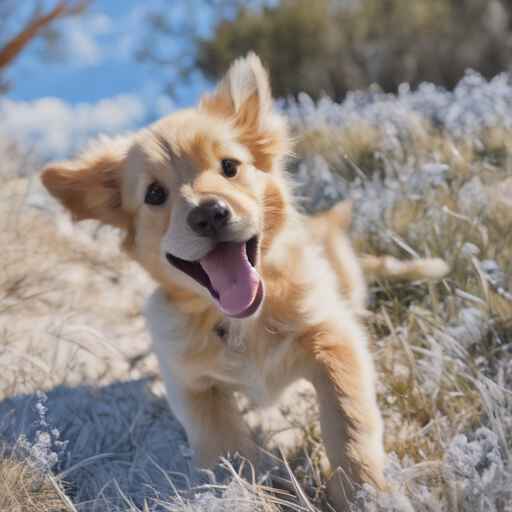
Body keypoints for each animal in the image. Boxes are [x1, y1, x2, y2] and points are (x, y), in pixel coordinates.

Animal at [41, 54, 448, 510]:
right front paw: (255, 490)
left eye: (229, 167)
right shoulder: (187, 381)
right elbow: (225, 448)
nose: (209, 214)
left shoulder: (333, 335)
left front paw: (367, 492)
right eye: (154, 194)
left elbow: (347, 418)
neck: (242, 321)